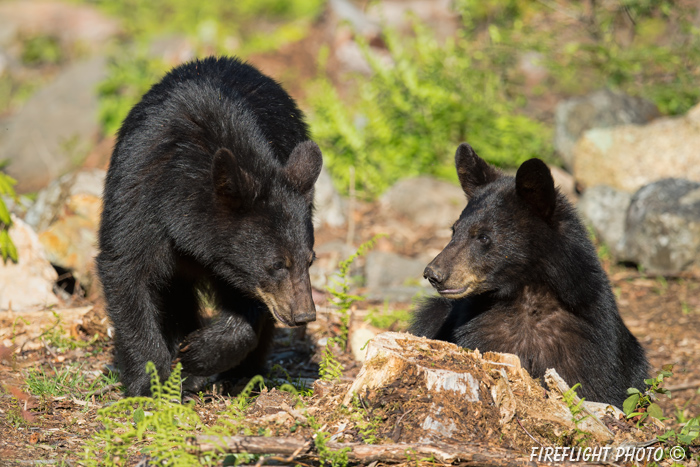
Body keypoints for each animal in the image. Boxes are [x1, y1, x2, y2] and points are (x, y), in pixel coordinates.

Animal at [97, 56, 324, 396]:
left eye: (309, 260)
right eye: (276, 264)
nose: (304, 314)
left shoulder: (236, 269)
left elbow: (248, 312)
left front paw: (199, 354)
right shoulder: (137, 197)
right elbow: (126, 273)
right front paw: (149, 384)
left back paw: (241, 374)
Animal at [412, 142, 648, 406]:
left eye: (483, 236)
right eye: (454, 230)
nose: (433, 273)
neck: (528, 300)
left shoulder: (592, 349)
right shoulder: (478, 335)